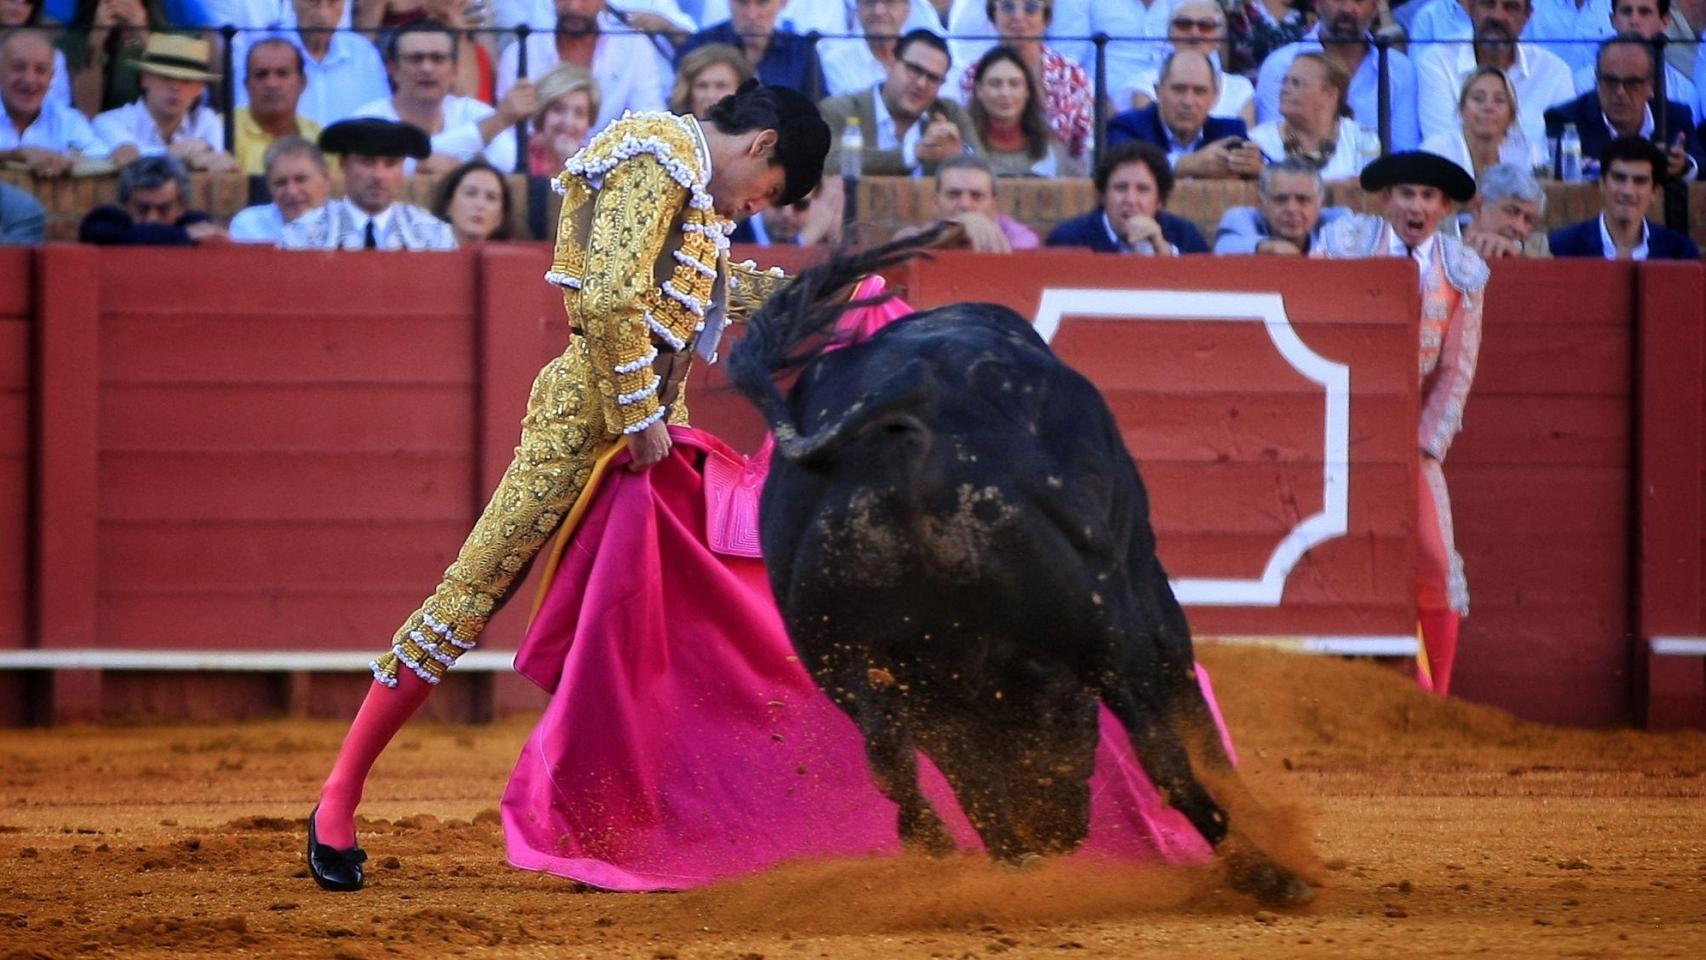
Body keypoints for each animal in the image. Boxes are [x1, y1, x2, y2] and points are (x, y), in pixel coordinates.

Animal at [726, 240, 1310, 907]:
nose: (1057, 833)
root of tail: (905, 416)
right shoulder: (1143, 575)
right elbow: (1190, 702)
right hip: (1102, 624)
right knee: (1158, 749)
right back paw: (1267, 872)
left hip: (848, 662)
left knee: (899, 763)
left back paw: (978, 855)